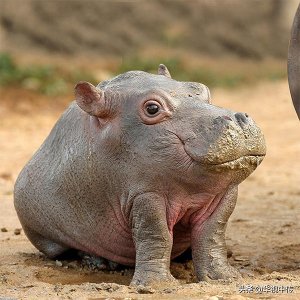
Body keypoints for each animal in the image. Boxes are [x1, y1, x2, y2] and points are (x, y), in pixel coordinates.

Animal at [14, 63, 264, 286]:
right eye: (152, 108)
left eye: (202, 89)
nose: (239, 119)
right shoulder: (145, 196)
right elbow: (156, 235)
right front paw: (157, 285)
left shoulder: (223, 195)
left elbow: (211, 235)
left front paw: (226, 278)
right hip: (46, 235)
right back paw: (100, 262)